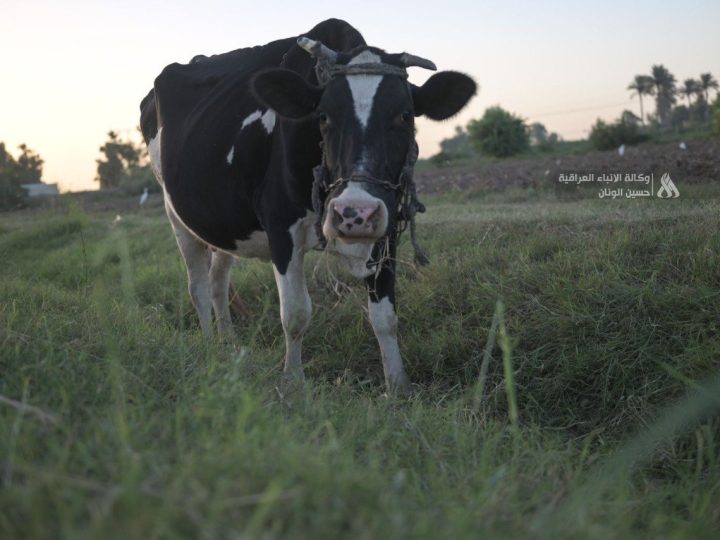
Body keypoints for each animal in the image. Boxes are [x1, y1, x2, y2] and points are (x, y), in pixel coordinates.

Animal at [142, 17, 478, 392]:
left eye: (405, 116)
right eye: (323, 117)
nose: (355, 213)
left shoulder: (387, 227)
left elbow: (385, 316)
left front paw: (398, 386)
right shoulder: (280, 227)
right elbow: (295, 314)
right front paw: (293, 383)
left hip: (225, 225)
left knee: (218, 282)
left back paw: (227, 345)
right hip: (177, 216)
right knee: (198, 286)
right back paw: (207, 346)